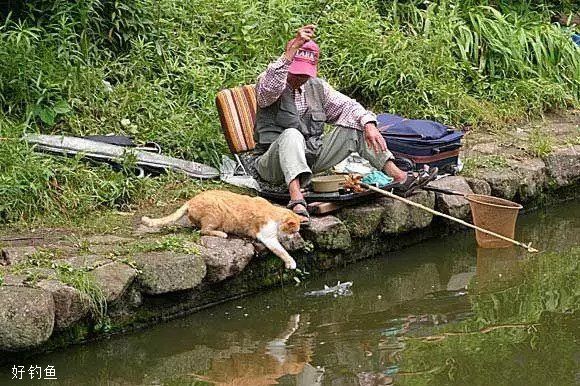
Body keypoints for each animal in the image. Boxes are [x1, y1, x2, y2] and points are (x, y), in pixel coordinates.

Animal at [141, 190, 302, 268]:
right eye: (294, 231)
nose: (294, 237)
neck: (275, 213)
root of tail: (190, 201)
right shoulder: (267, 236)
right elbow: (282, 251)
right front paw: (291, 262)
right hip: (216, 213)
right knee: (202, 231)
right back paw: (221, 233)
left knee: (198, 228)